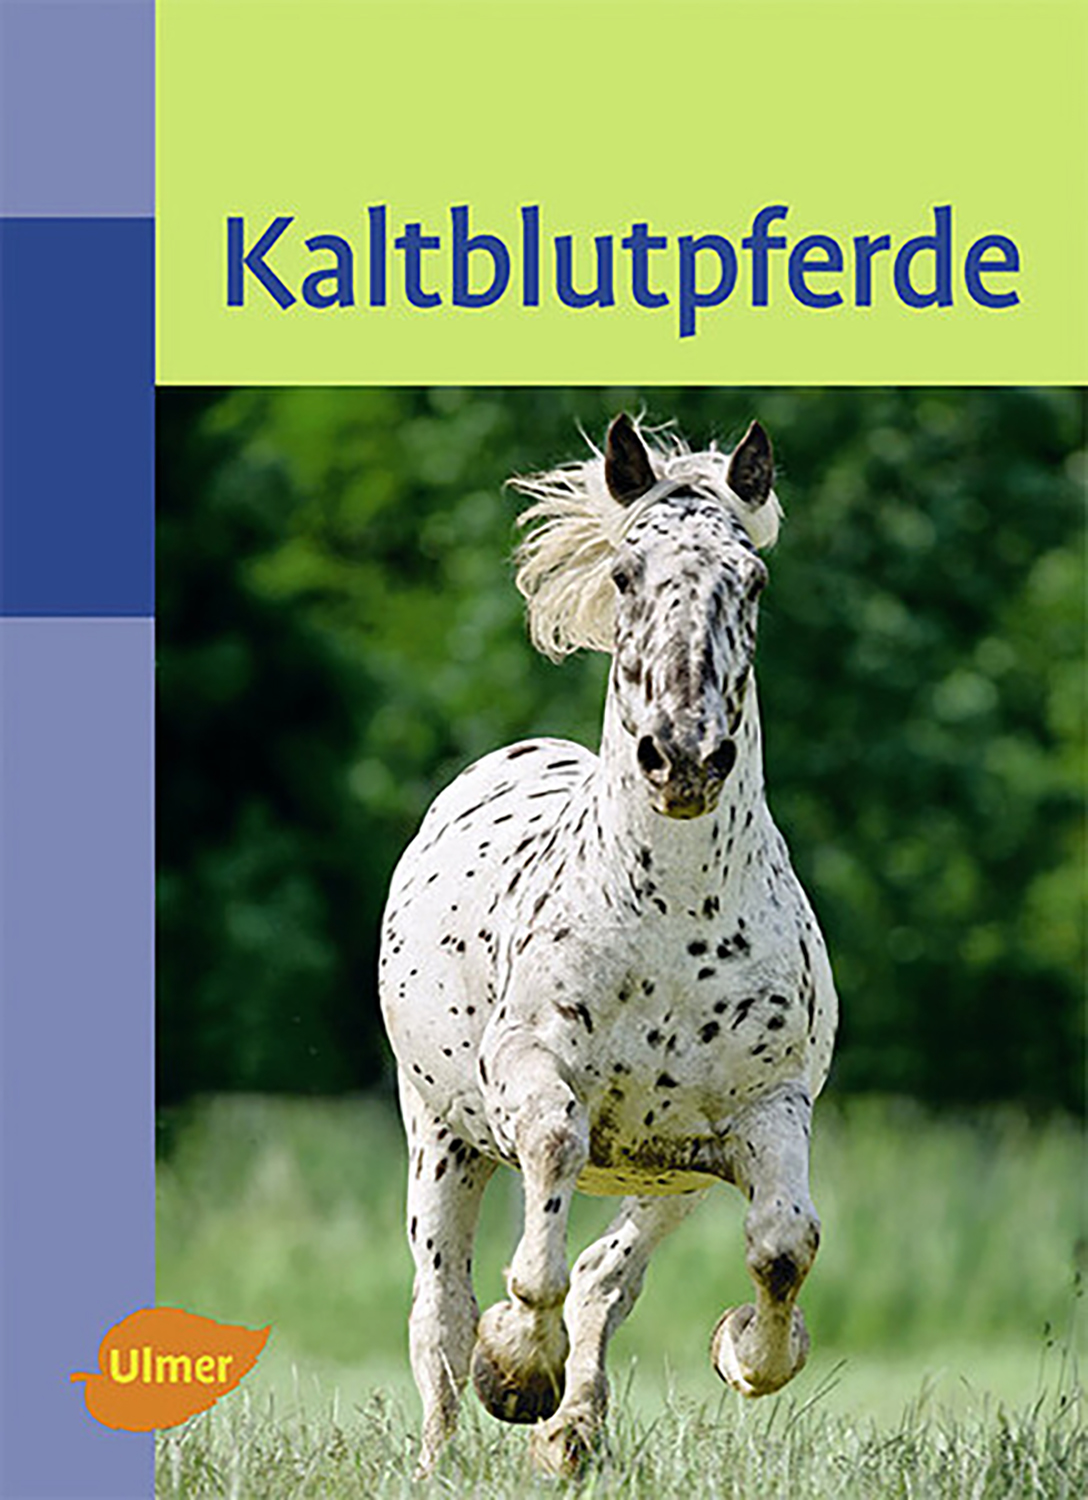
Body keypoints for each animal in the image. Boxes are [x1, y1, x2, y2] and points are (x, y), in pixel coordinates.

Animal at [378, 414, 838, 1476]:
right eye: (629, 573)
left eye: (752, 580)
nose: (684, 757)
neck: (675, 924)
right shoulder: (528, 1071)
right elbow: (549, 1163)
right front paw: (518, 1366)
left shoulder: (766, 1113)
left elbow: (784, 1243)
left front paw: (748, 1353)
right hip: (439, 1134)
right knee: (441, 1311)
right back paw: (444, 1453)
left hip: (668, 1181)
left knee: (604, 1275)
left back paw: (575, 1434)